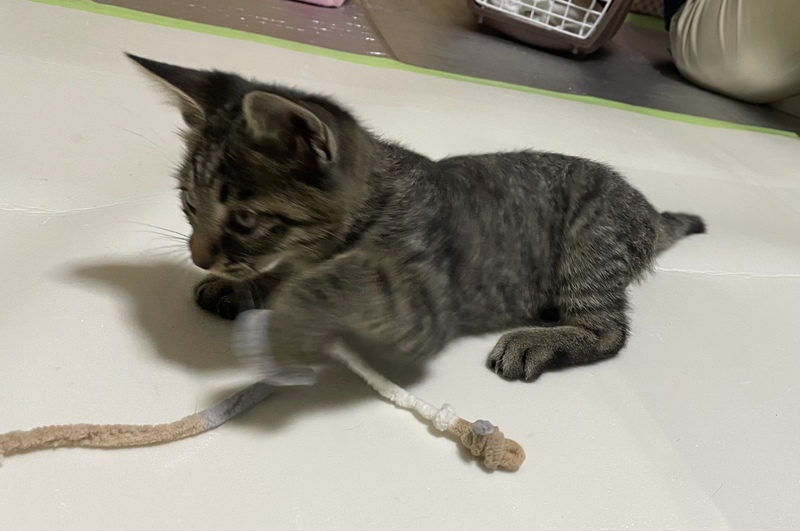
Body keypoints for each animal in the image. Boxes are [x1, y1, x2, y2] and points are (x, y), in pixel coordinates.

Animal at [128, 53, 704, 382]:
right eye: (188, 205)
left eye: (245, 219)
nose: (199, 257)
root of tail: (647, 209)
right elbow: (287, 272)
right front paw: (242, 286)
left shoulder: (425, 300)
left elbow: (331, 282)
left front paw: (286, 311)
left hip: (590, 240)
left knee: (608, 332)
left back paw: (538, 340)